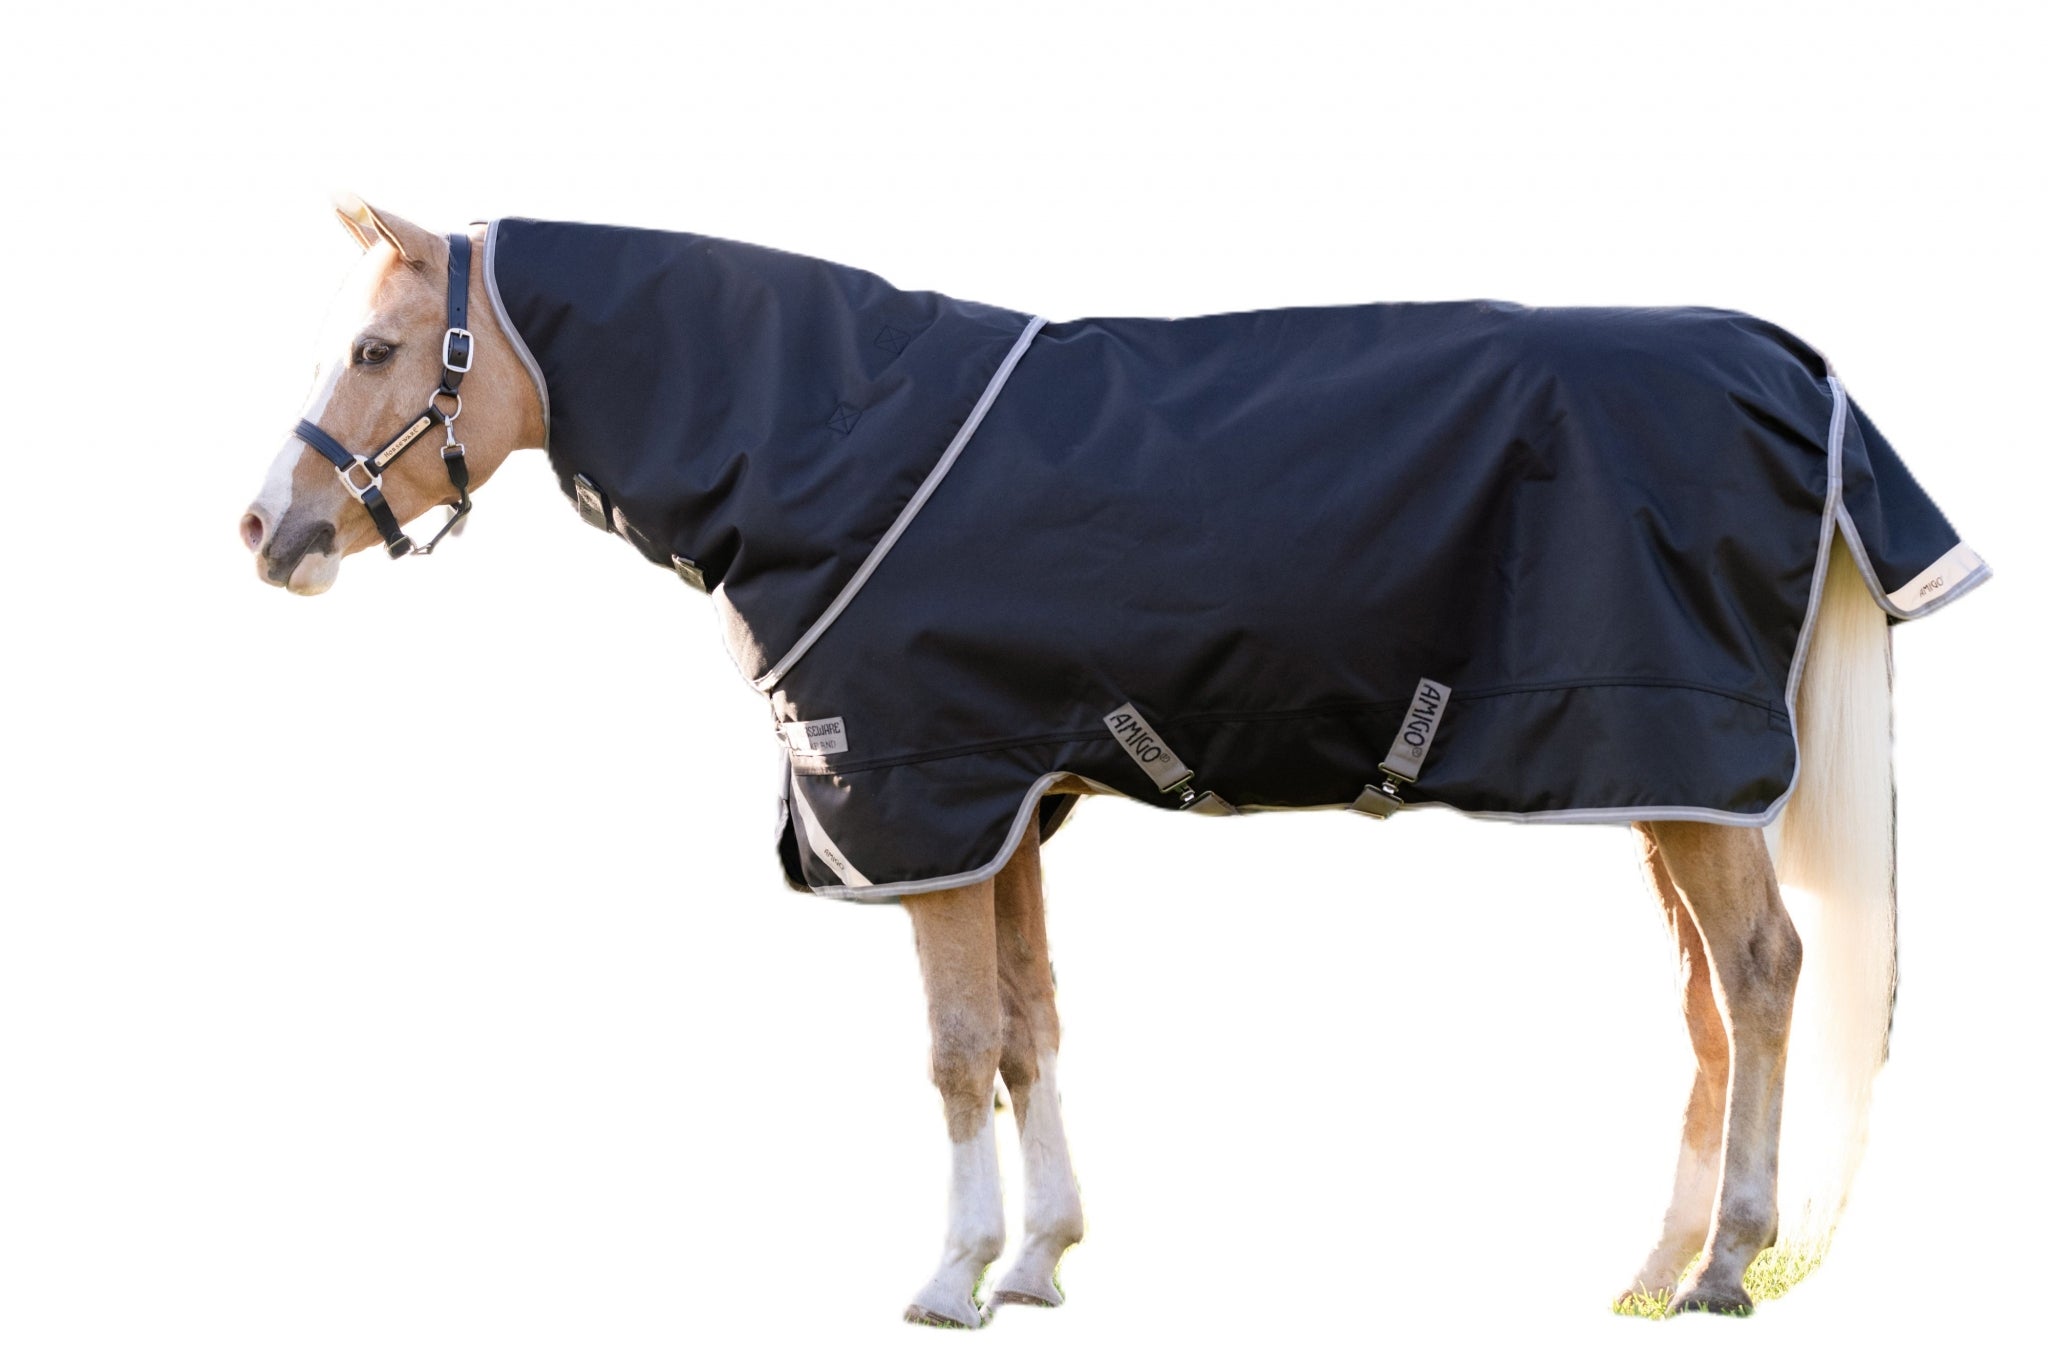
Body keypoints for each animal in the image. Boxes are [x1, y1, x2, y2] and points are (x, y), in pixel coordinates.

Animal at [241, 194, 1983, 1325]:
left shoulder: (924, 800)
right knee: (1708, 1004)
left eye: (380, 349)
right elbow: (1027, 1029)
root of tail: (1793, 364)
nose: (268, 529)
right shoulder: (1005, 806)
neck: (827, 438)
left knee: (1764, 974)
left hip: (1690, 771)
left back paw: (1727, 1266)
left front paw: (950, 1275)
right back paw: (1654, 1265)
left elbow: (955, 1048)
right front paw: (1040, 1257)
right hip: (1655, 778)